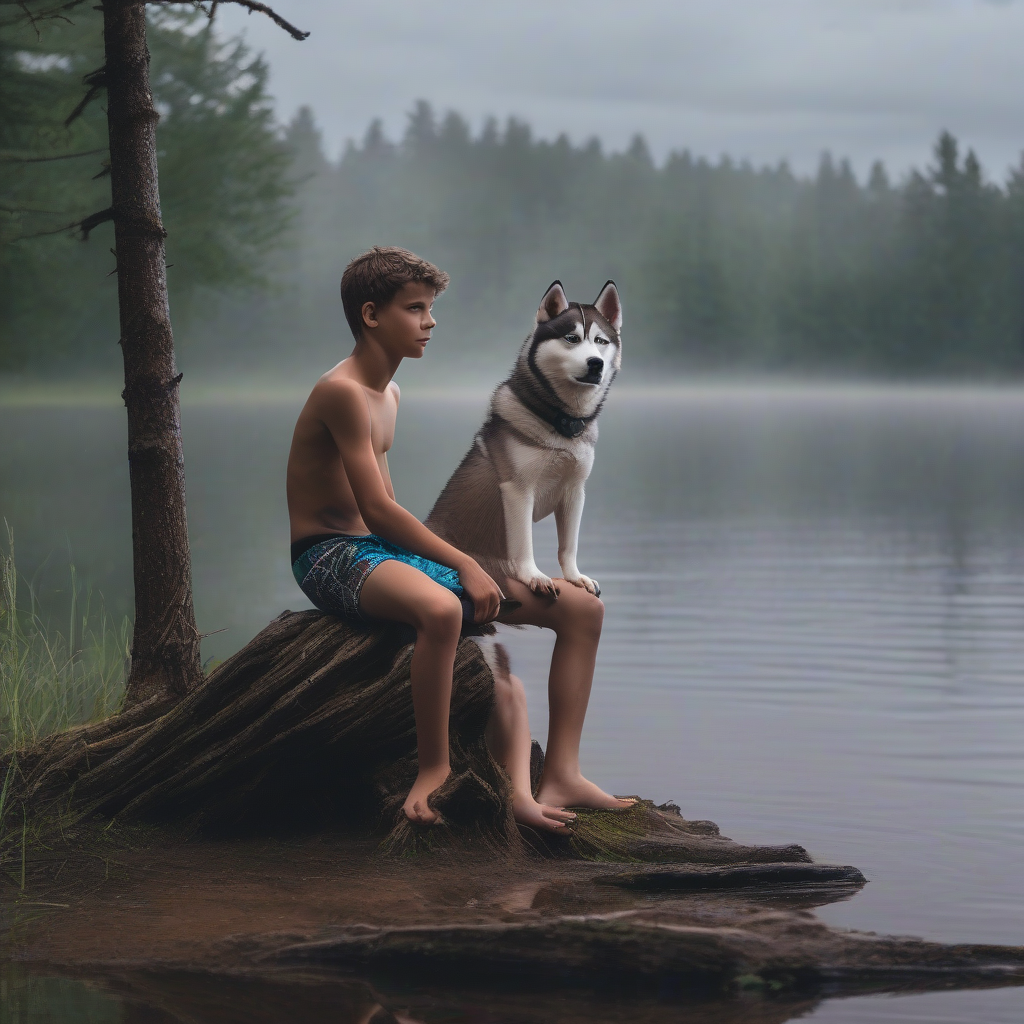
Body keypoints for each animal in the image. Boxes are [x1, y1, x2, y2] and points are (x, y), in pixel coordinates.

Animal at [425, 280, 618, 598]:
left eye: (601, 341)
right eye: (572, 338)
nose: (596, 364)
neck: (562, 424)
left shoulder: (574, 491)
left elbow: (568, 546)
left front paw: (574, 577)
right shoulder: (517, 490)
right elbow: (522, 542)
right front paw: (533, 576)